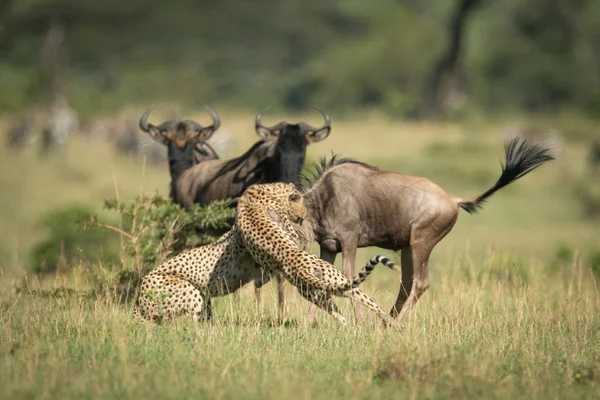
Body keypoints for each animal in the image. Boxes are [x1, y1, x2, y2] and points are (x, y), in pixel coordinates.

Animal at [237, 183, 400, 326]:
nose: (302, 217)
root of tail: (302, 272)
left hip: (320, 292)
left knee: (336, 311)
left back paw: (347, 326)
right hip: (338, 284)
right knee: (367, 303)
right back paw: (393, 324)